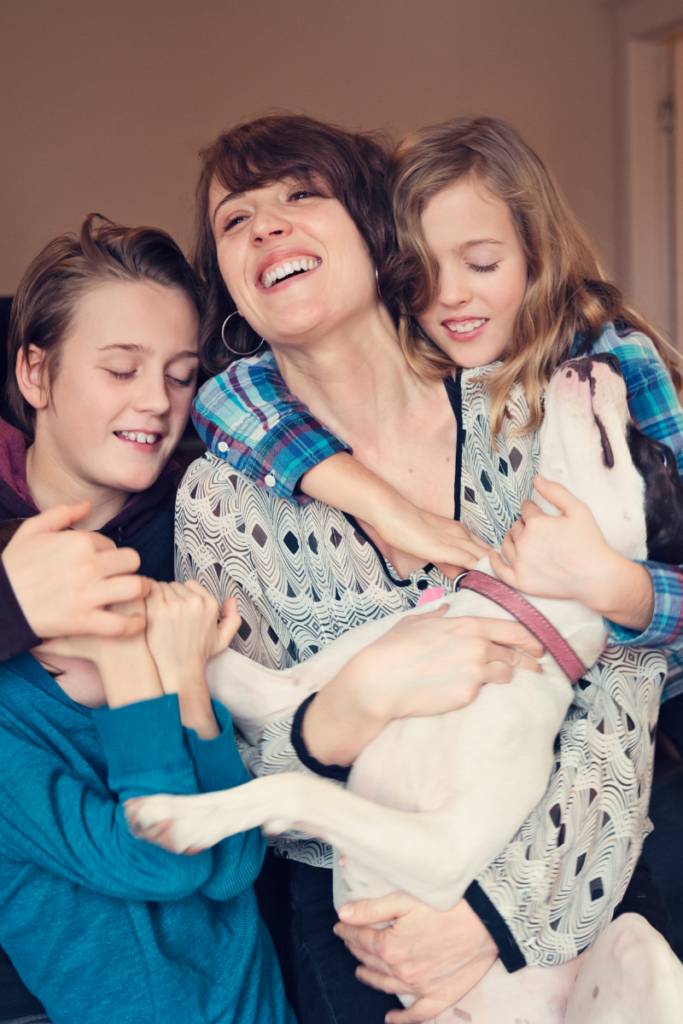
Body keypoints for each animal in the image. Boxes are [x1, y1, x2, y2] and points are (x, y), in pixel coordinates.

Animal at [126, 354, 683, 1024]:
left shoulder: (442, 848)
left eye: (659, 456)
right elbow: (215, 663)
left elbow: (302, 788)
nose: (603, 355)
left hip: (638, 939)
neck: (504, 611)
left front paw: (179, 817)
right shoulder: (283, 694)